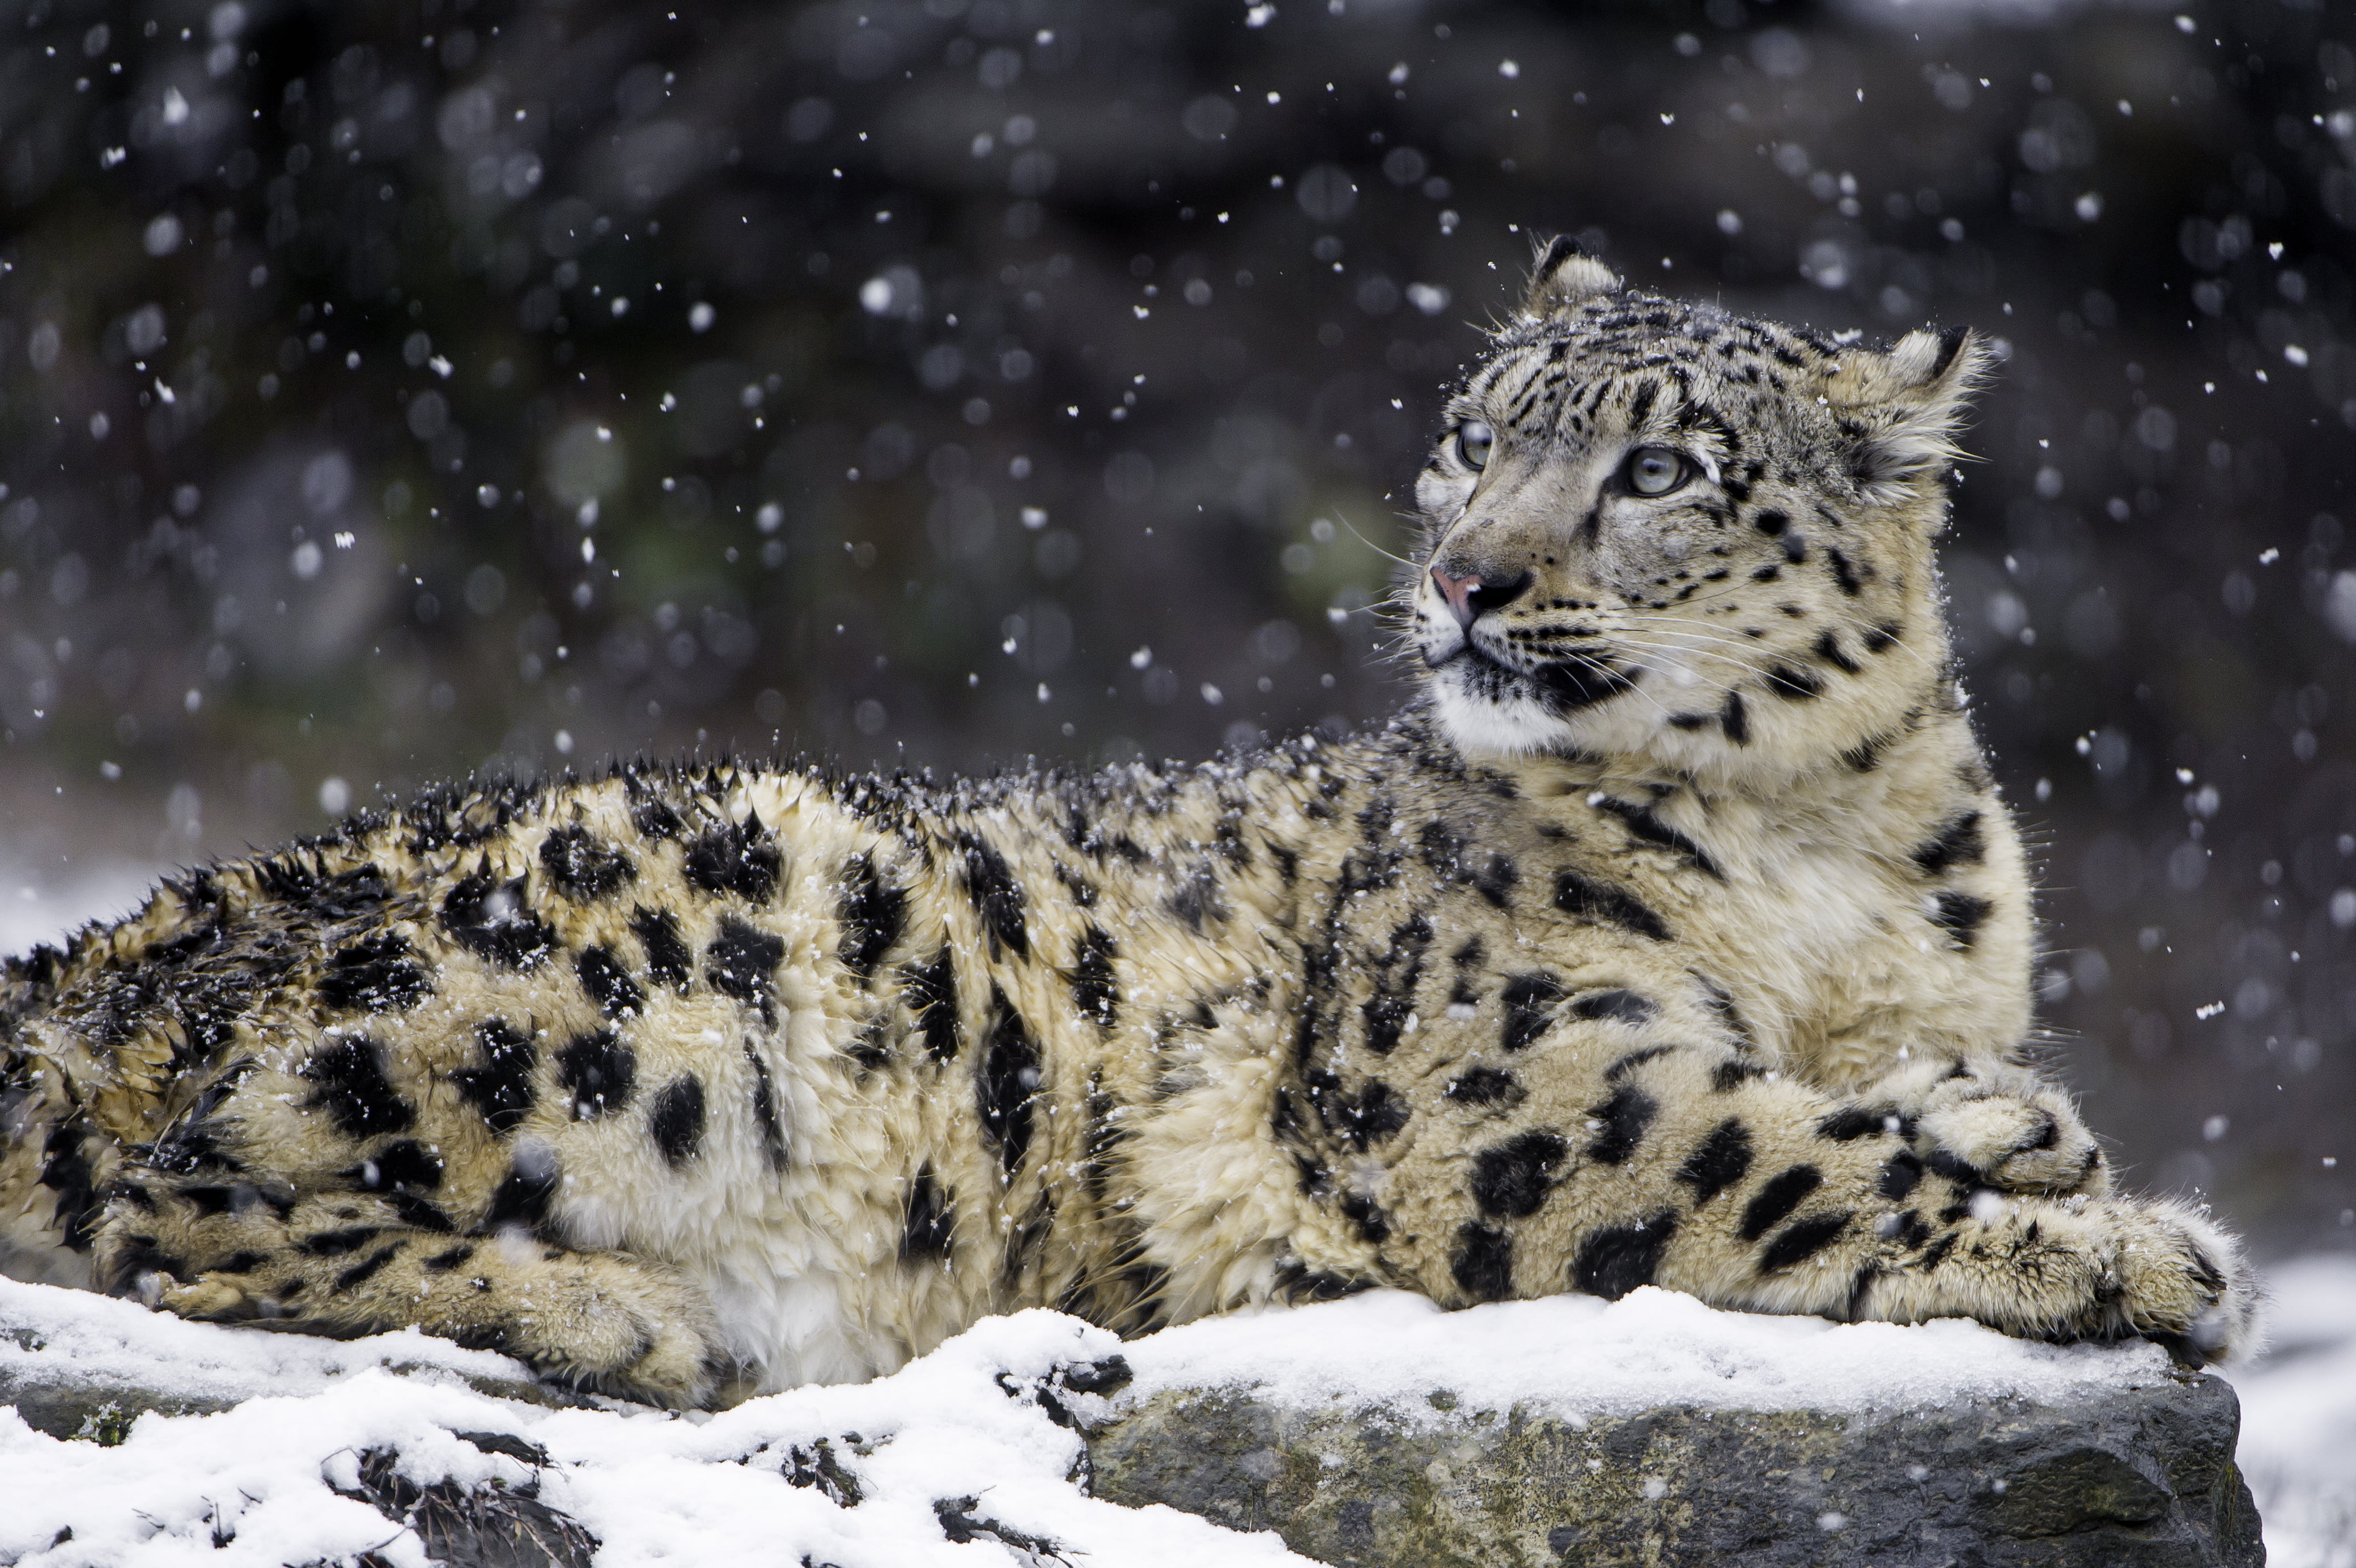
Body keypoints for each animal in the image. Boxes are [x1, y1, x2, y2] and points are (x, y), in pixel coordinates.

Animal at [0, 245, 2252, 1403]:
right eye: (1467, 436)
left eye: (1659, 470)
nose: (1467, 577)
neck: (1817, 853)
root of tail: (103, 940)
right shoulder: (1492, 1074)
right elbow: (1764, 1154)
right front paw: (2122, 1245)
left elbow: (1874, 1092)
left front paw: (2008, 1118)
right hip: (643, 963)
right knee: (166, 1201)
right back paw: (610, 1310)